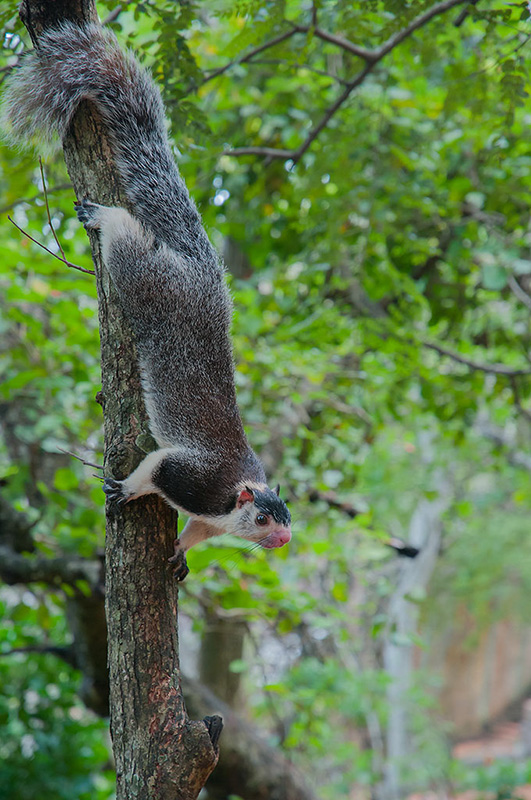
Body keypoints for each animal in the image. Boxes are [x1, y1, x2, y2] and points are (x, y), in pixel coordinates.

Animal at [1, 22, 291, 579]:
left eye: (289, 516)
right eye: (264, 519)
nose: (285, 540)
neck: (230, 503)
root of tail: (203, 273)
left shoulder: (208, 515)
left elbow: (196, 532)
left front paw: (180, 554)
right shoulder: (190, 477)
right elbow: (152, 470)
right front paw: (125, 491)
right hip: (148, 280)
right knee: (126, 239)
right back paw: (103, 216)